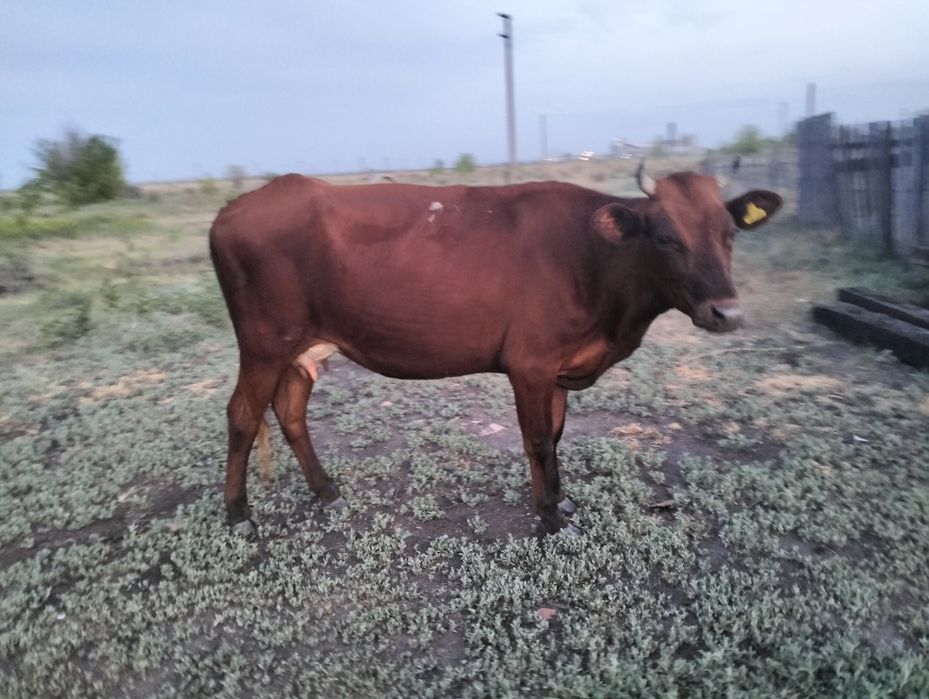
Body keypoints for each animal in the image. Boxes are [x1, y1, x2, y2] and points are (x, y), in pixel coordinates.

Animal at [209, 166, 782, 536]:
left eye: (729, 233)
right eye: (665, 237)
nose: (727, 313)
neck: (596, 261)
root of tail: (234, 208)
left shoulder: (559, 367)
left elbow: (555, 435)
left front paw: (560, 502)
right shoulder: (530, 364)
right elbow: (539, 441)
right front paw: (549, 518)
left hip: (298, 349)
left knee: (289, 412)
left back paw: (325, 490)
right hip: (263, 343)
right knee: (242, 415)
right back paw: (238, 515)